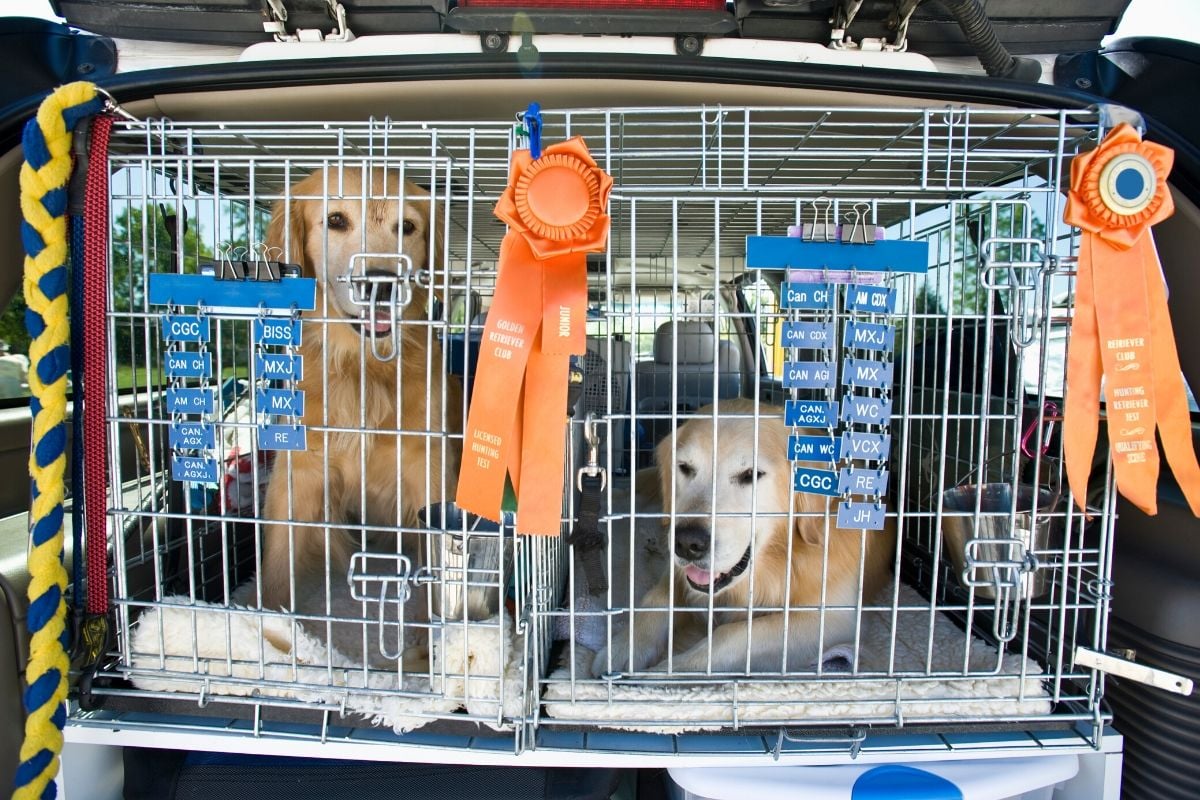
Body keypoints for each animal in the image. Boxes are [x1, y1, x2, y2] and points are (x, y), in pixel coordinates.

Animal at [260, 169, 460, 618]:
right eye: (336, 220)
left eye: (407, 227)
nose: (381, 284)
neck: (363, 364)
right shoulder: (298, 471)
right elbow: (278, 564)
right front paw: (271, 620)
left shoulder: (428, 467)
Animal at [595, 400, 897, 676]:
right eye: (685, 468)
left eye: (751, 474)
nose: (687, 544)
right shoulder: (680, 575)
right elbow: (655, 601)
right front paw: (624, 647)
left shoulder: (832, 618)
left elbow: (732, 634)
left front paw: (669, 671)